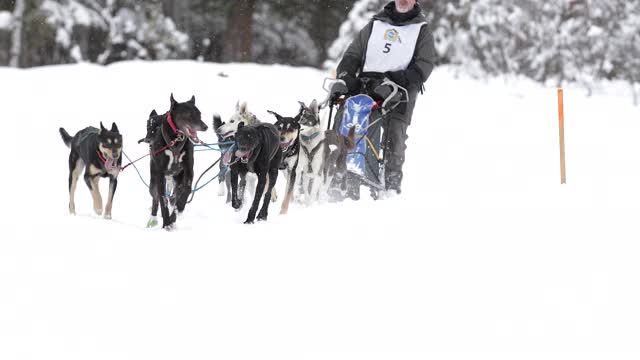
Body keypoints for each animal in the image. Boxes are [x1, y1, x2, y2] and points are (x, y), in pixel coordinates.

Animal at [146, 94, 206, 229]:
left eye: (199, 113)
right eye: (189, 114)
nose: (205, 127)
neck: (177, 139)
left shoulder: (189, 170)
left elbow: (186, 191)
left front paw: (178, 210)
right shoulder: (160, 175)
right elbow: (162, 200)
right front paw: (166, 223)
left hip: (178, 180)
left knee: (174, 196)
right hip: (153, 181)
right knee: (155, 199)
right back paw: (153, 219)